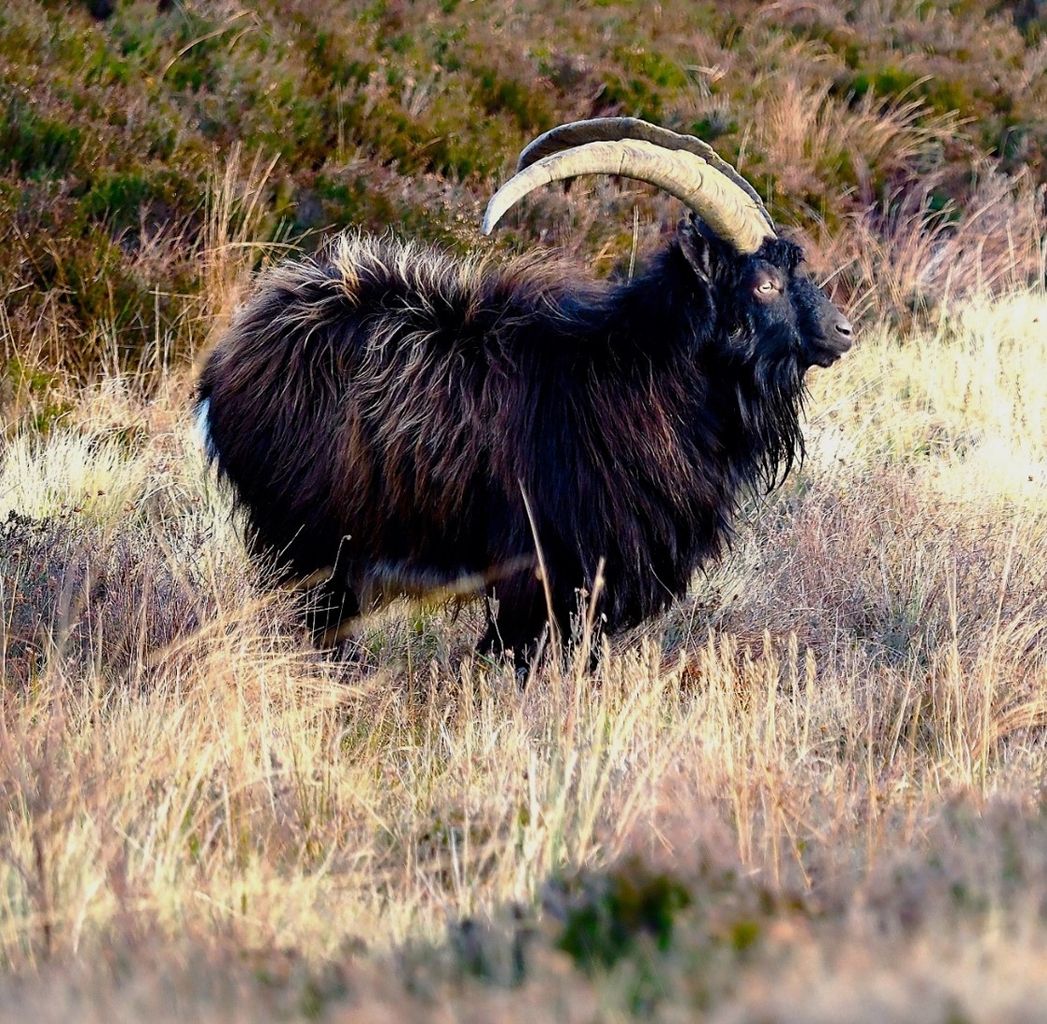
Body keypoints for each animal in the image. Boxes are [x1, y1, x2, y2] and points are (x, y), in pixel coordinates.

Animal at [197, 118, 854, 660]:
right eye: (765, 284)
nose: (843, 330)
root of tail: (227, 361)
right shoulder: (547, 569)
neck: (638, 375)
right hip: (308, 542)